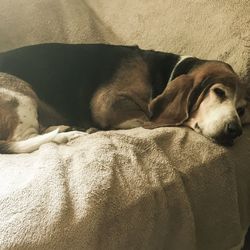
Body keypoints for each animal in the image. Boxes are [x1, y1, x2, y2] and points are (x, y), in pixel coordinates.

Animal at [0, 42, 248, 152]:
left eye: (242, 109)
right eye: (218, 92)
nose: (235, 130)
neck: (168, 72)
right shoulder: (107, 104)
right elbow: (147, 119)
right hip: (21, 93)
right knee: (18, 141)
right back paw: (66, 135)